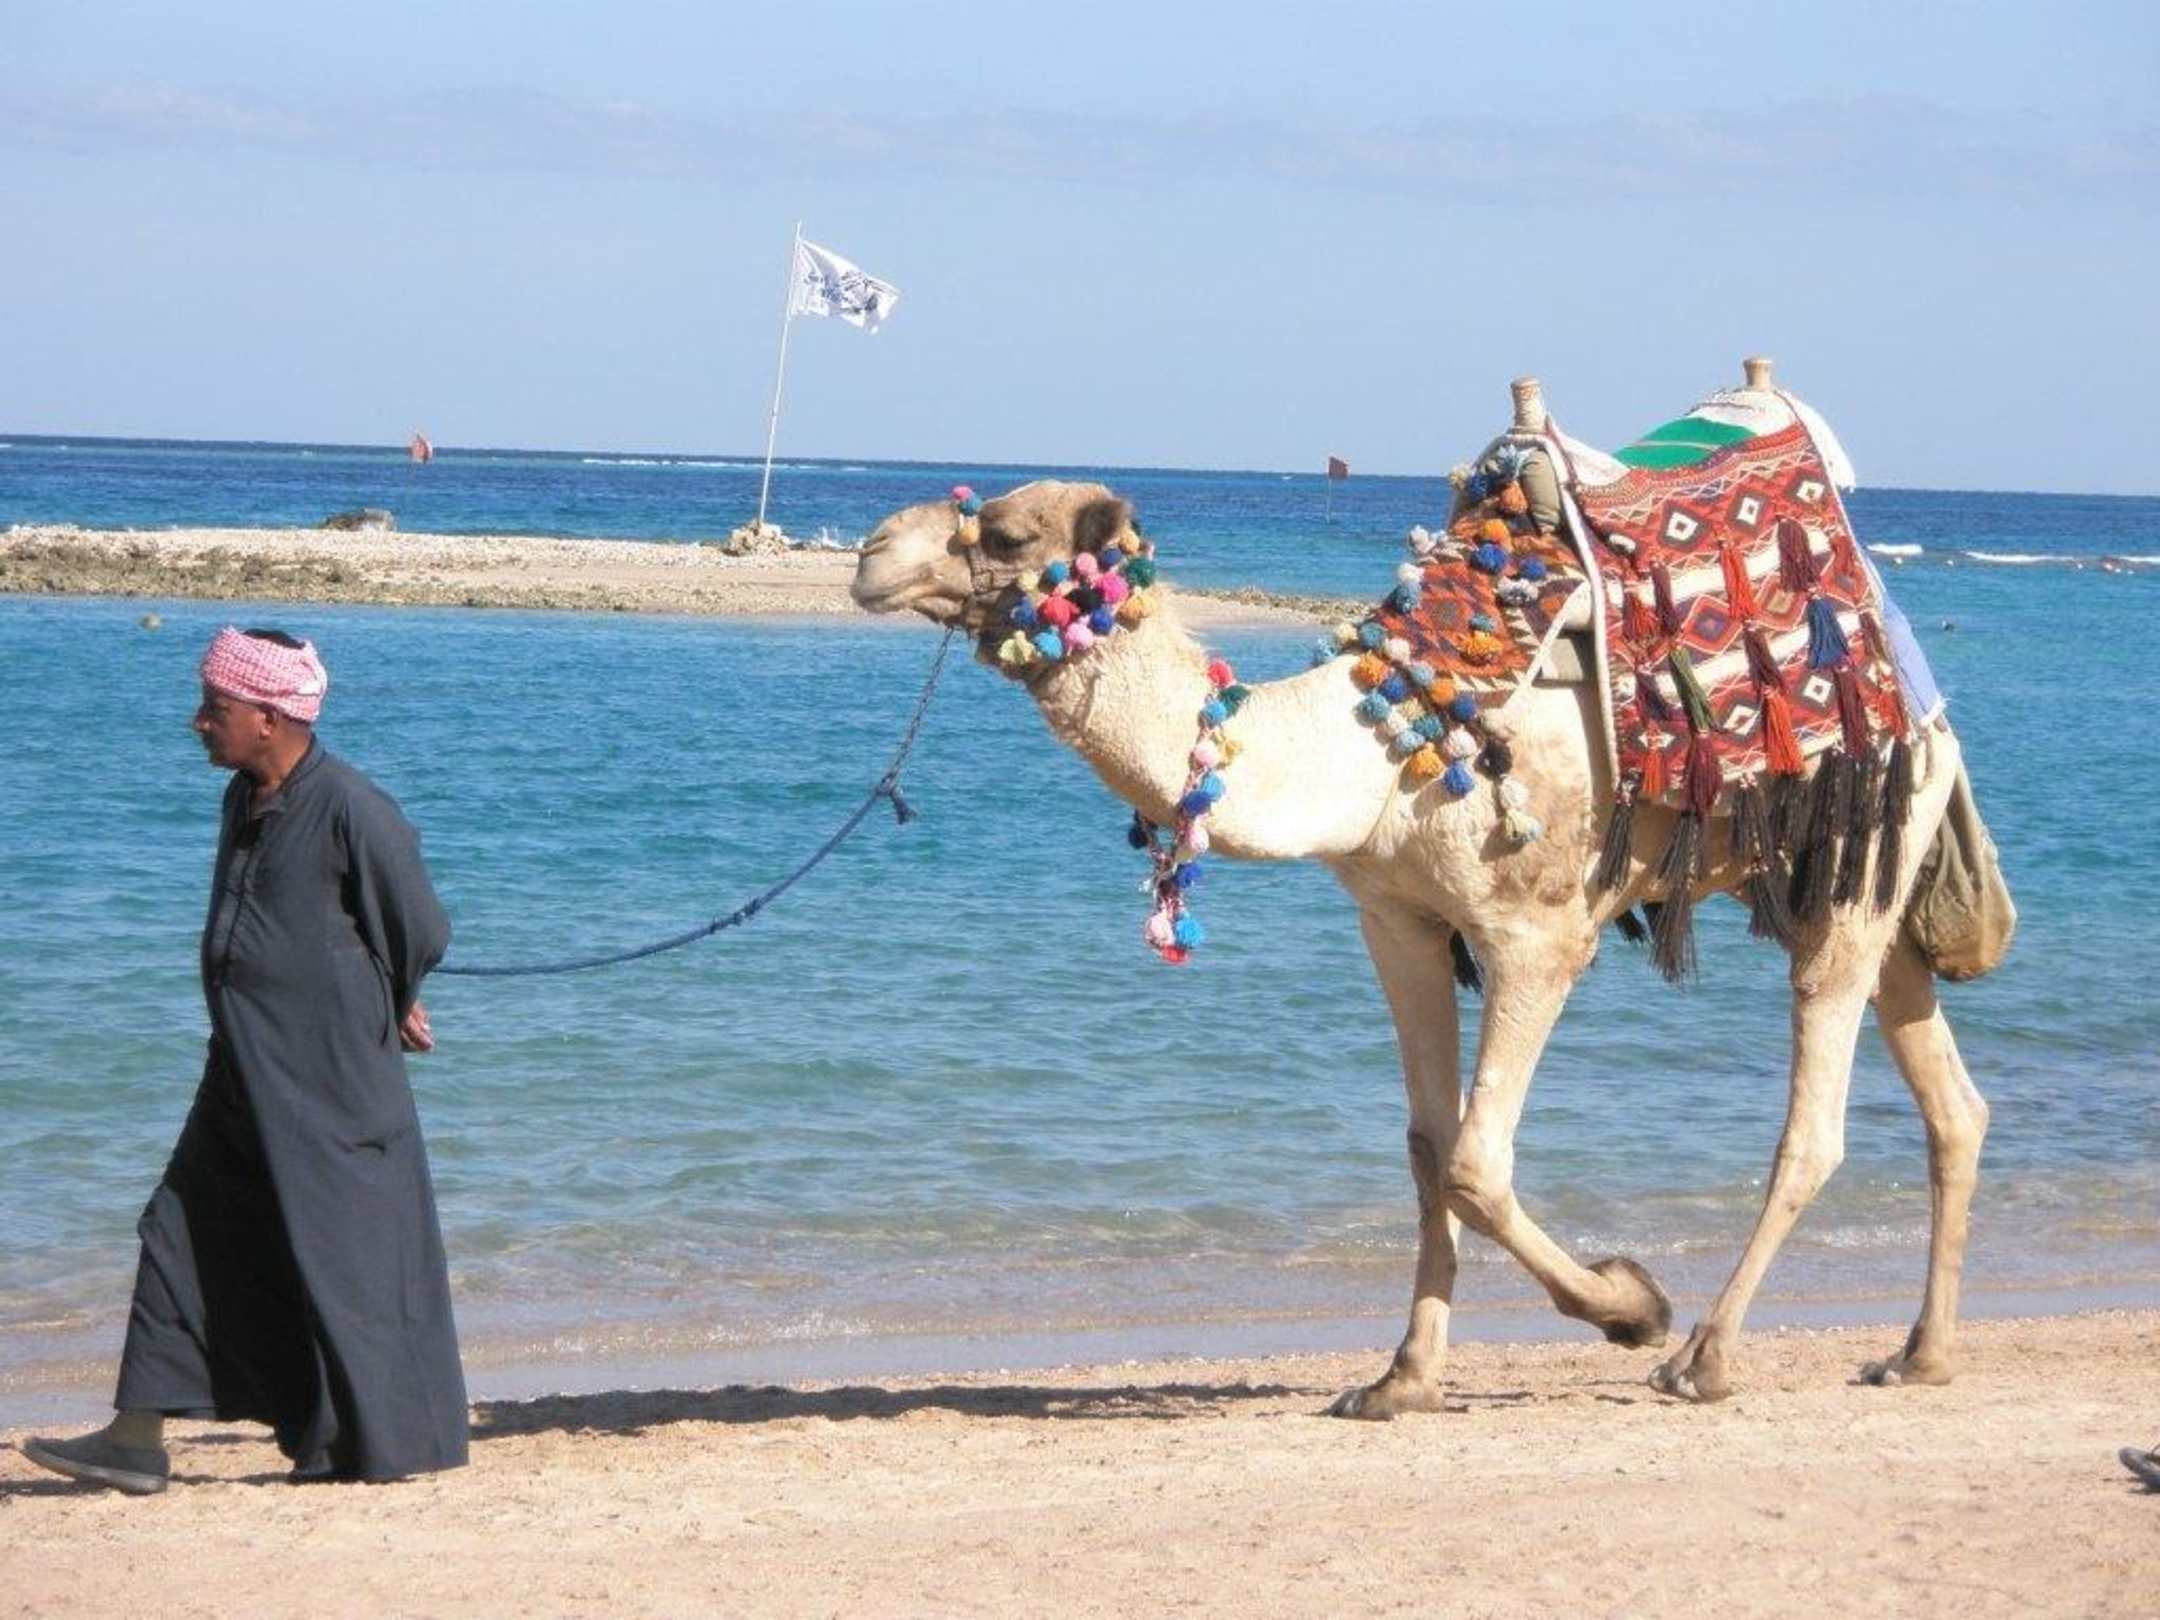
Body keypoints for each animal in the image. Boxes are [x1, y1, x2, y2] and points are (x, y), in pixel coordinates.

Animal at [848, 373, 1988, 1412]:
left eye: (1006, 530)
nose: (871, 553)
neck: (1374, 750)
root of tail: (1918, 687)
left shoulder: (1537, 935)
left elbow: (1479, 1165)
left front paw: (1631, 1304)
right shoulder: (1396, 920)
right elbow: (1428, 1151)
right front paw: (1401, 1377)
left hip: (1859, 861)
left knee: (1815, 1123)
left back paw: (1702, 1358)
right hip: (1833, 876)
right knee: (1952, 1101)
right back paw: (1921, 1353)